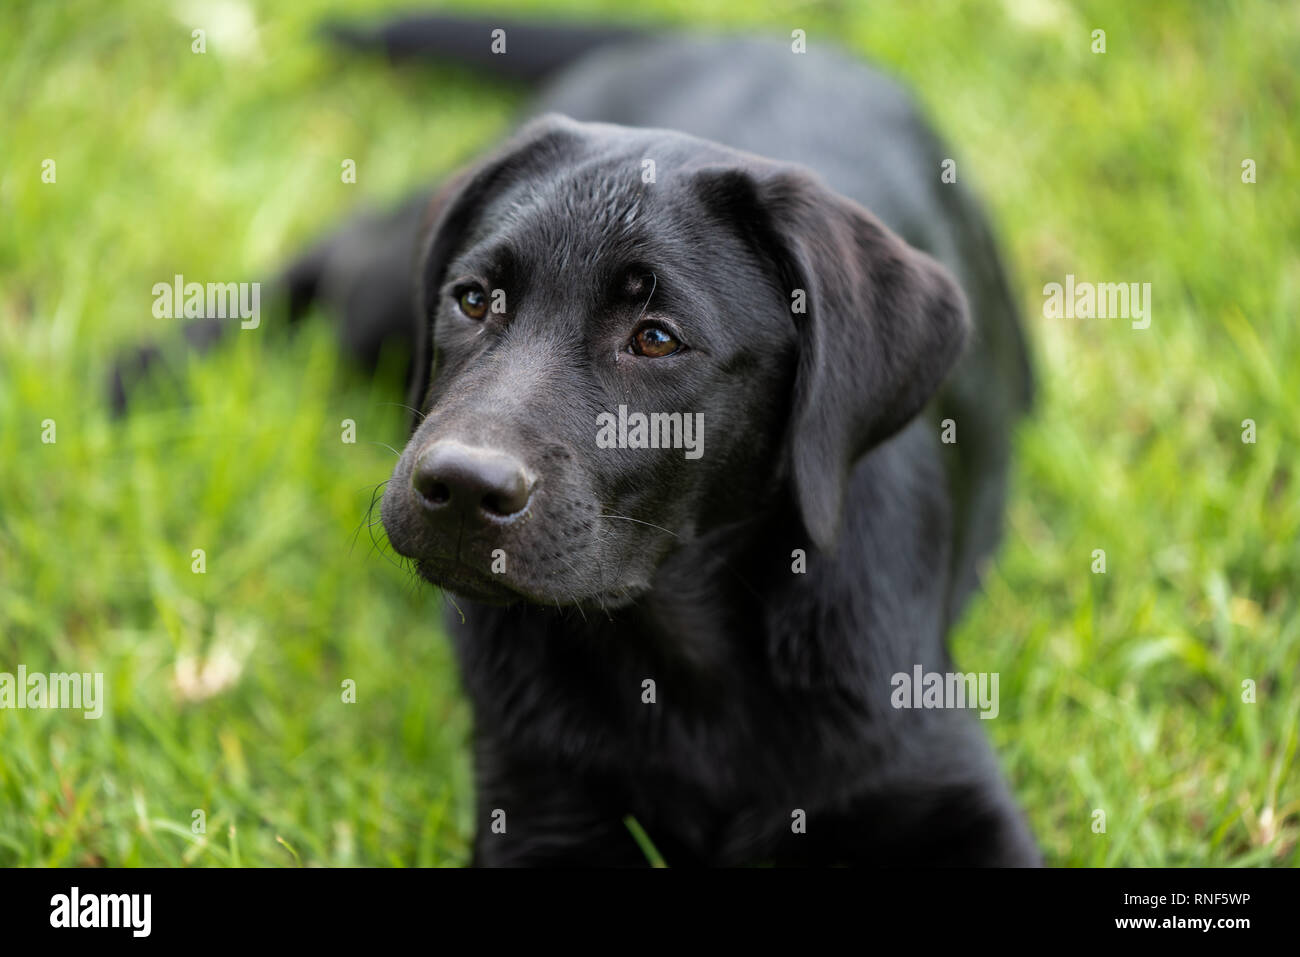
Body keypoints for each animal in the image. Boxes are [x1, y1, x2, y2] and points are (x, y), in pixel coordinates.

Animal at [119, 13, 1034, 868]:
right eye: (474, 298)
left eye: (656, 339)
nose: (459, 485)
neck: (684, 656)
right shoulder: (539, 805)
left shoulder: (942, 784)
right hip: (375, 299)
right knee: (338, 253)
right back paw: (146, 367)